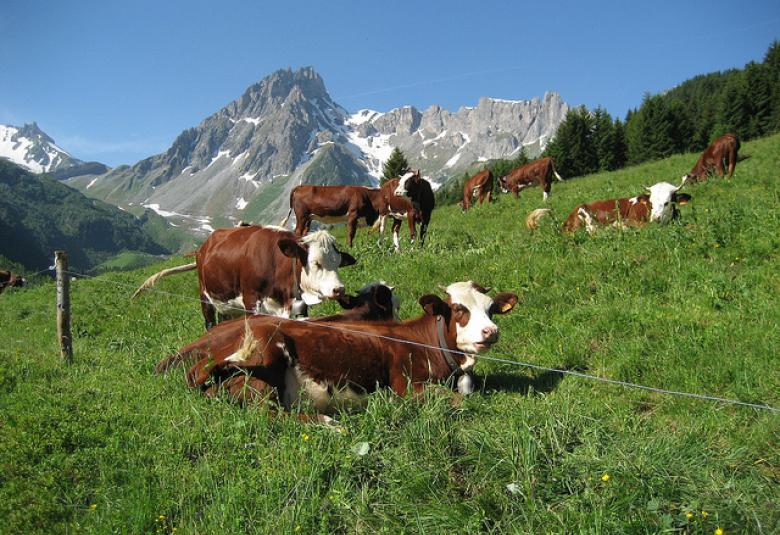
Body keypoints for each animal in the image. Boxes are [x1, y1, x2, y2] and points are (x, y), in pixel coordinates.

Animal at [132, 225, 356, 328]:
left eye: (338, 262)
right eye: (316, 262)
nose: (339, 289)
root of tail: (203, 246)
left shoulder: (298, 306)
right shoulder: (252, 300)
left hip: (228, 305)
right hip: (205, 297)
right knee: (210, 324)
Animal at [180, 282, 516, 416]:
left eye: (491, 309)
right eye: (459, 309)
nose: (491, 331)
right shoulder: (406, 386)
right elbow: (461, 402)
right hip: (265, 361)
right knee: (272, 415)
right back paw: (331, 425)